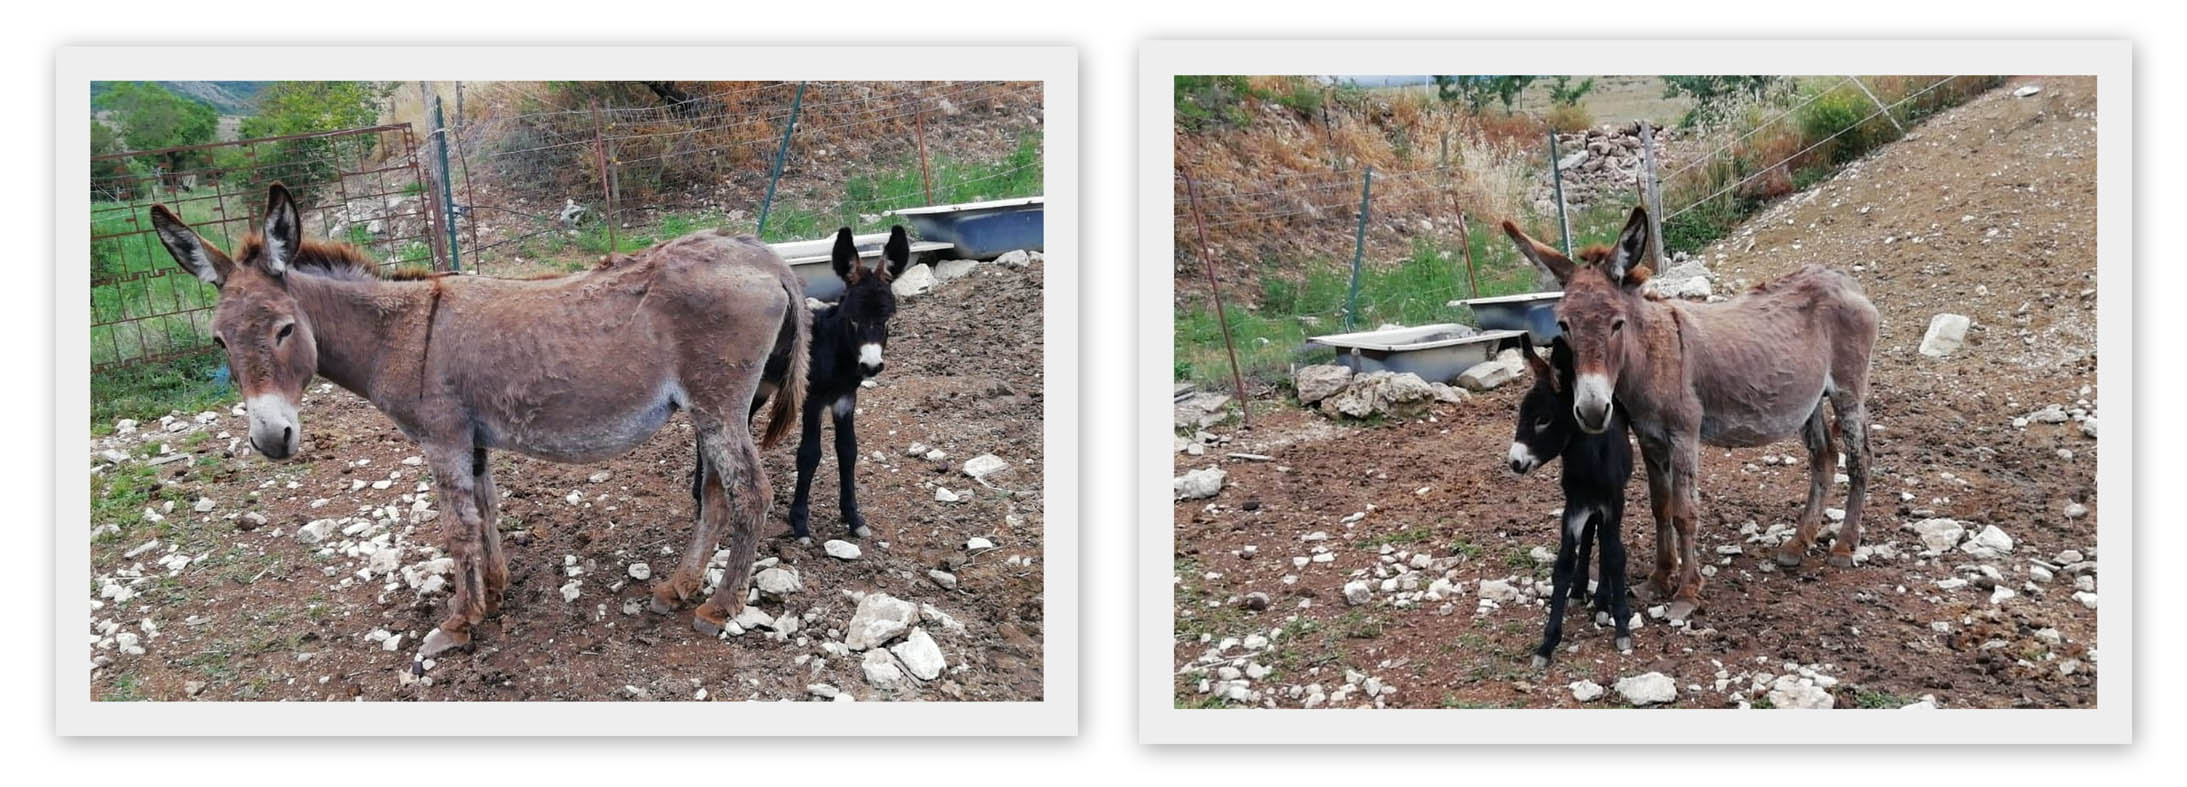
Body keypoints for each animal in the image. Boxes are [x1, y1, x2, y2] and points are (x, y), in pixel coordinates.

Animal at [699, 220, 905, 542]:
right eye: (852, 317)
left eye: (887, 319)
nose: (871, 366)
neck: (832, 349)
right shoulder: (813, 400)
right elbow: (809, 454)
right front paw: (800, 523)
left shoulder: (846, 399)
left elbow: (849, 450)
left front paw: (854, 517)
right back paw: (699, 498)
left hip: (761, 389)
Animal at [1513, 334, 1635, 668]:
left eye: (1543, 420)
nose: (1514, 462)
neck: (1588, 464)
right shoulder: (1573, 507)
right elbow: (1565, 562)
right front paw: (1547, 643)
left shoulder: (1613, 504)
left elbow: (1614, 556)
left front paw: (1621, 626)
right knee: (1592, 535)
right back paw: (1582, 589)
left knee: (1605, 542)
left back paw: (1603, 601)